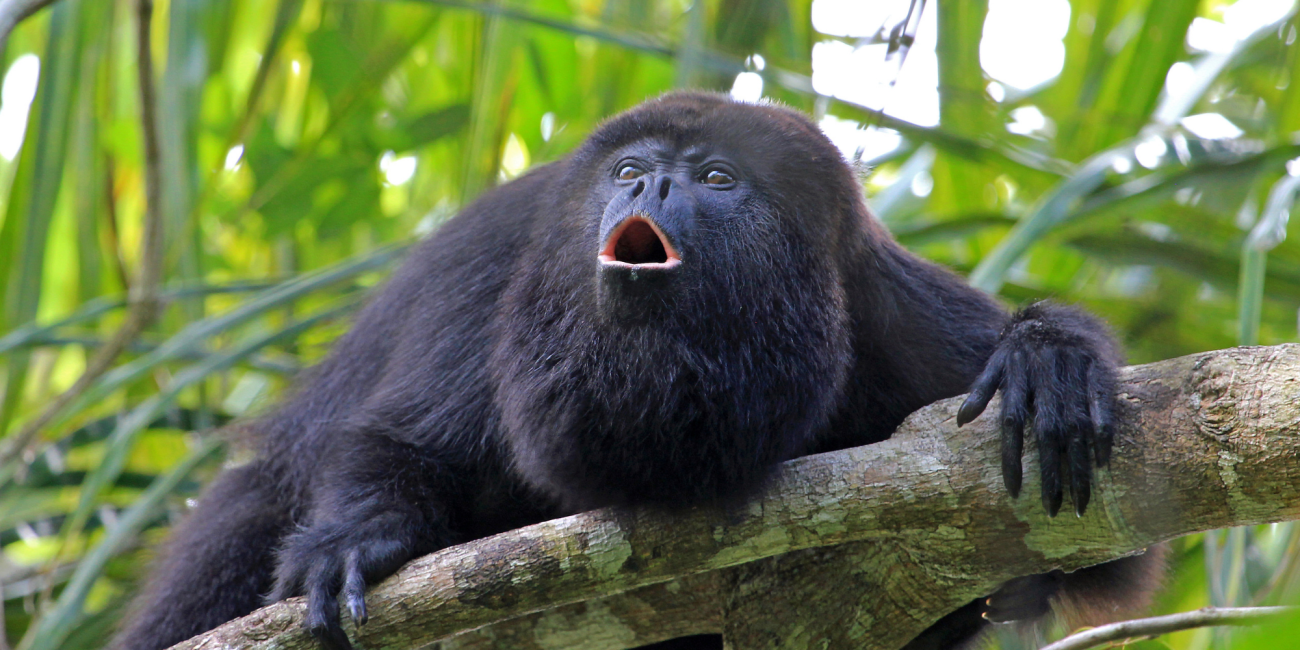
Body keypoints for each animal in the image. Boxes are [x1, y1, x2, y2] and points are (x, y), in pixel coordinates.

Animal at [114, 91, 1170, 650]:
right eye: (630, 171)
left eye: (717, 178)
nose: (655, 182)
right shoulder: (503, 264)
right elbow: (401, 440)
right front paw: (354, 538)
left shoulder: (886, 309)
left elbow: (1105, 547)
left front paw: (1047, 358)